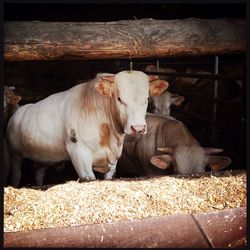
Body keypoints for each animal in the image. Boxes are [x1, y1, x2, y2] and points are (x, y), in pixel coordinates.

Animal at [6, 70, 168, 186]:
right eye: (119, 99)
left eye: (147, 99)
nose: (138, 128)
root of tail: (20, 110)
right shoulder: (79, 153)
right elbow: (88, 178)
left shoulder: (113, 161)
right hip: (14, 154)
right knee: (17, 174)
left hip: (41, 157)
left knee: (39, 173)